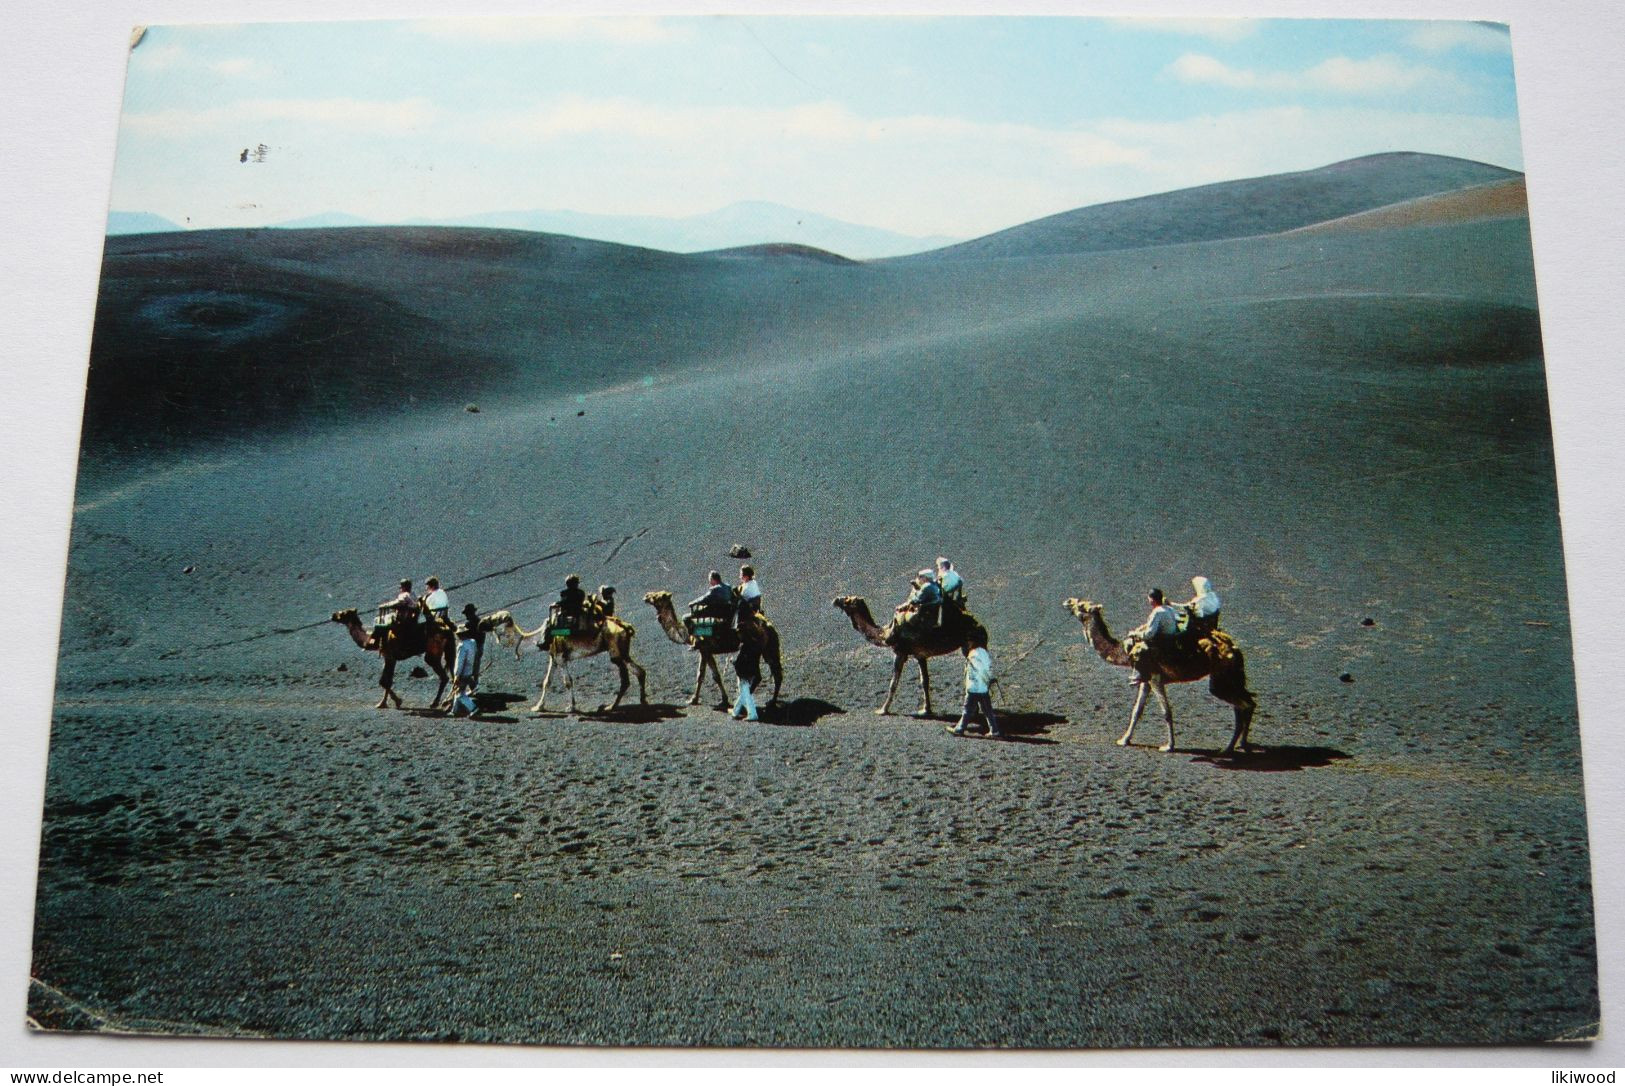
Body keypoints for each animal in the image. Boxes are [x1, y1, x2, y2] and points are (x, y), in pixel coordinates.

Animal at [477, 611, 643, 712]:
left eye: (497, 619)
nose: (481, 623)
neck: (538, 638)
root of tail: (625, 627)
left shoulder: (561, 657)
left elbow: (568, 682)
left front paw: (571, 707)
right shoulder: (553, 657)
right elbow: (547, 682)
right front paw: (538, 707)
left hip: (617, 651)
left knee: (631, 675)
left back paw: (617, 706)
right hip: (620, 652)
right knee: (635, 674)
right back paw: (628, 704)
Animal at [637, 588, 783, 708]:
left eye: (657, 596)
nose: (646, 596)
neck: (686, 634)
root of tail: (768, 625)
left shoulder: (704, 649)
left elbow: (703, 675)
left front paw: (693, 700)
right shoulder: (708, 651)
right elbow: (713, 675)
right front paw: (722, 700)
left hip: (752, 649)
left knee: (758, 674)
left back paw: (746, 701)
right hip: (766, 648)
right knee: (775, 672)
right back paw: (771, 701)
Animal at [832, 595, 981, 712]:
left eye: (847, 599)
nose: (835, 600)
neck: (886, 633)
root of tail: (977, 623)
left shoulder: (900, 652)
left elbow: (893, 683)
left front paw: (883, 710)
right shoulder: (920, 655)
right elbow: (924, 681)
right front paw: (926, 710)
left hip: (971, 642)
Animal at [1059, 595, 1261, 754]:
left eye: (1082, 605)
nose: (1068, 601)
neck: (1124, 652)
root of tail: (1235, 650)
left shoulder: (1156, 678)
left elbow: (1166, 712)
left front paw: (1168, 746)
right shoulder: (1145, 679)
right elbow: (1136, 711)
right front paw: (1124, 740)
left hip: (1221, 679)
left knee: (1244, 704)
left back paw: (1229, 747)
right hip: (1229, 678)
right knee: (1244, 705)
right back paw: (1240, 745)